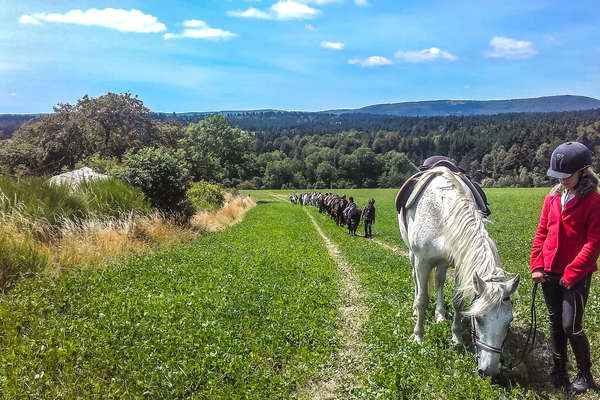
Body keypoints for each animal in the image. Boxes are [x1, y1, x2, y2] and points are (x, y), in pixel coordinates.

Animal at [396, 166, 516, 378]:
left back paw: (440, 314)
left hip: (443, 262)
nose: (489, 371)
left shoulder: (460, 262)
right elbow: (422, 299)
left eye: (509, 321)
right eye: (479, 318)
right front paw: (418, 337)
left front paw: (456, 337)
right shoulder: (422, 261)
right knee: (417, 282)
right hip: (412, 256)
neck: (440, 211)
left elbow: (458, 301)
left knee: (439, 281)